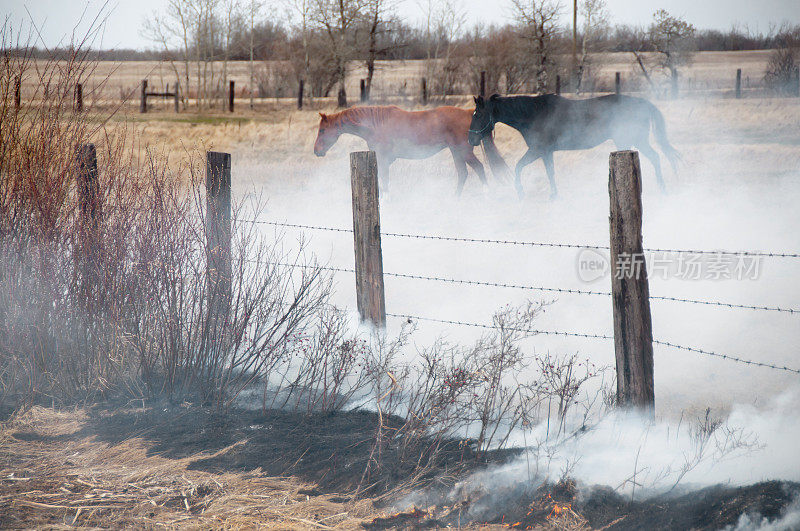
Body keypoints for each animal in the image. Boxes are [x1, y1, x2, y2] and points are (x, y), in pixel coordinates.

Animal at [310, 105, 506, 194]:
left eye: (323, 130)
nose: (316, 150)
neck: (375, 125)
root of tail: (468, 113)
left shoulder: (383, 159)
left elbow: (385, 181)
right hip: (455, 152)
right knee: (463, 173)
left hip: (463, 151)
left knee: (479, 169)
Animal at [466, 93, 680, 200]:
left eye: (478, 114)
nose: (470, 139)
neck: (532, 114)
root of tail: (643, 103)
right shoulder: (546, 152)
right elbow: (550, 172)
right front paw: (554, 195)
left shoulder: (538, 150)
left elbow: (519, 167)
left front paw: (520, 191)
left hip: (633, 139)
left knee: (655, 158)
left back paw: (662, 188)